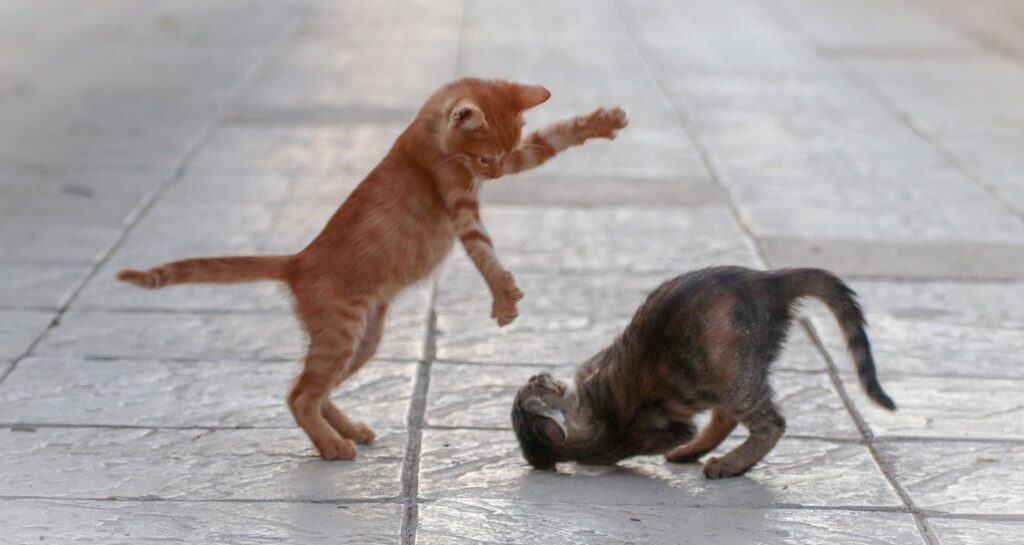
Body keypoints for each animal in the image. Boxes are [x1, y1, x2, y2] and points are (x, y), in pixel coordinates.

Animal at [118, 76, 622, 458]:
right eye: (484, 157)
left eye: (503, 152)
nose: (494, 175)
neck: (425, 132)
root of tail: (297, 261)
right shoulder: (459, 204)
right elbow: (484, 252)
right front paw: (502, 296)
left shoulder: (514, 161)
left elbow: (550, 142)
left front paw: (597, 123)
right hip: (341, 333)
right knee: (300, 395)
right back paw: (331, 446)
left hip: (363, 340)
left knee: (309, 389)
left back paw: (348, 430)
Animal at [512, 266, 897, 479]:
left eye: (533, 386)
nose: (537, 375)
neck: (597, 420)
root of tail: (767, 281)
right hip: (731, 375)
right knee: (763, 423)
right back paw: (723, 462)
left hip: (729, 375)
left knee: (758, 421)